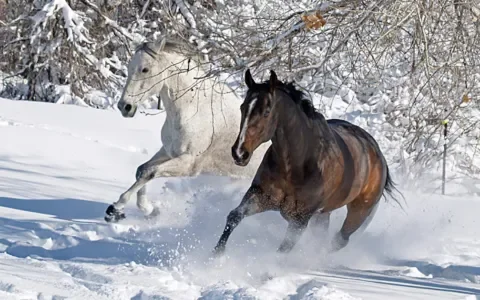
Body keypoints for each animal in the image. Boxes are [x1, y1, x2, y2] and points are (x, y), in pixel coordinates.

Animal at [104, 36, 270, 221]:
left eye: (145, 69)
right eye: (129, 67)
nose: (124, 107)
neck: (193, 109)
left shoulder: (189, 163)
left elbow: (150, 172)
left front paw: (116, 208)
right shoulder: (169, 152)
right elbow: (142, 170)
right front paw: (149, 209)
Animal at [214, 69, 402, 254]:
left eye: (266, 112)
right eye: (242, 108)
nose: (239, 153)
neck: (297, 166)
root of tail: (379, 156)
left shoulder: (299, 220)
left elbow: (283, 250)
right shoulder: (260, 196)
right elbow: (234, 216)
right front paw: (216, 255)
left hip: (359, 213)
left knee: (339, 241)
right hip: (322, 215)